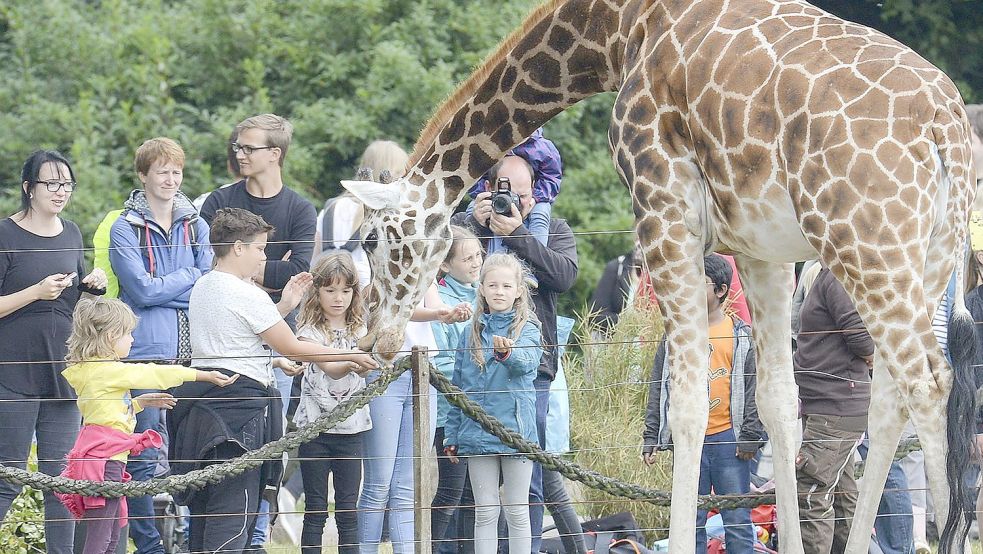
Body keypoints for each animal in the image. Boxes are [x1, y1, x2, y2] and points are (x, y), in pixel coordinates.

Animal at [342, 2, 980, 548]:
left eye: (380, 240)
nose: (378, 339)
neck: (617, 29)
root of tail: (947, 125)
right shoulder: (762, 247)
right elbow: (779, 403)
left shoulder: (663, 209)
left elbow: (688, 404)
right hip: (925, 257)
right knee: (892, 396)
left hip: (864, 244)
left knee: (930, 382)